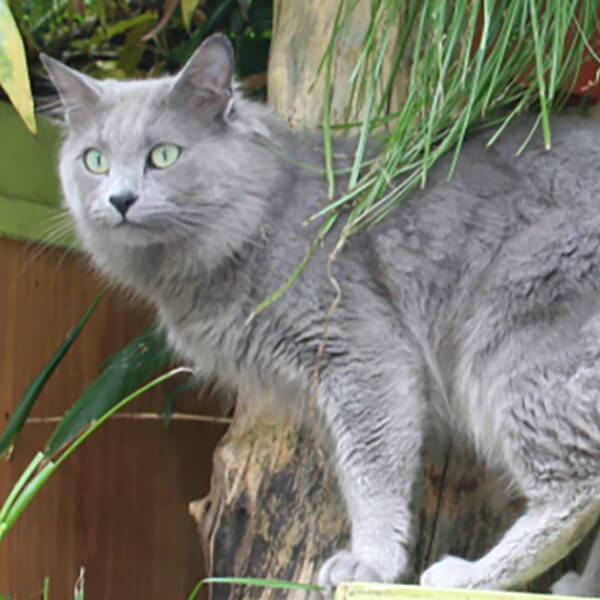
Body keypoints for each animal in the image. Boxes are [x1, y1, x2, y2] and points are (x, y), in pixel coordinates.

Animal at [44, 34, 600, 596]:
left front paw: (371, 563)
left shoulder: (363, 357)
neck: (260, 217)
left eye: (163, 155)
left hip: (515, 345)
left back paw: (469, 575)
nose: (120, 198)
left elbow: (371, 476)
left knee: (576, 487)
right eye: (95, 160)